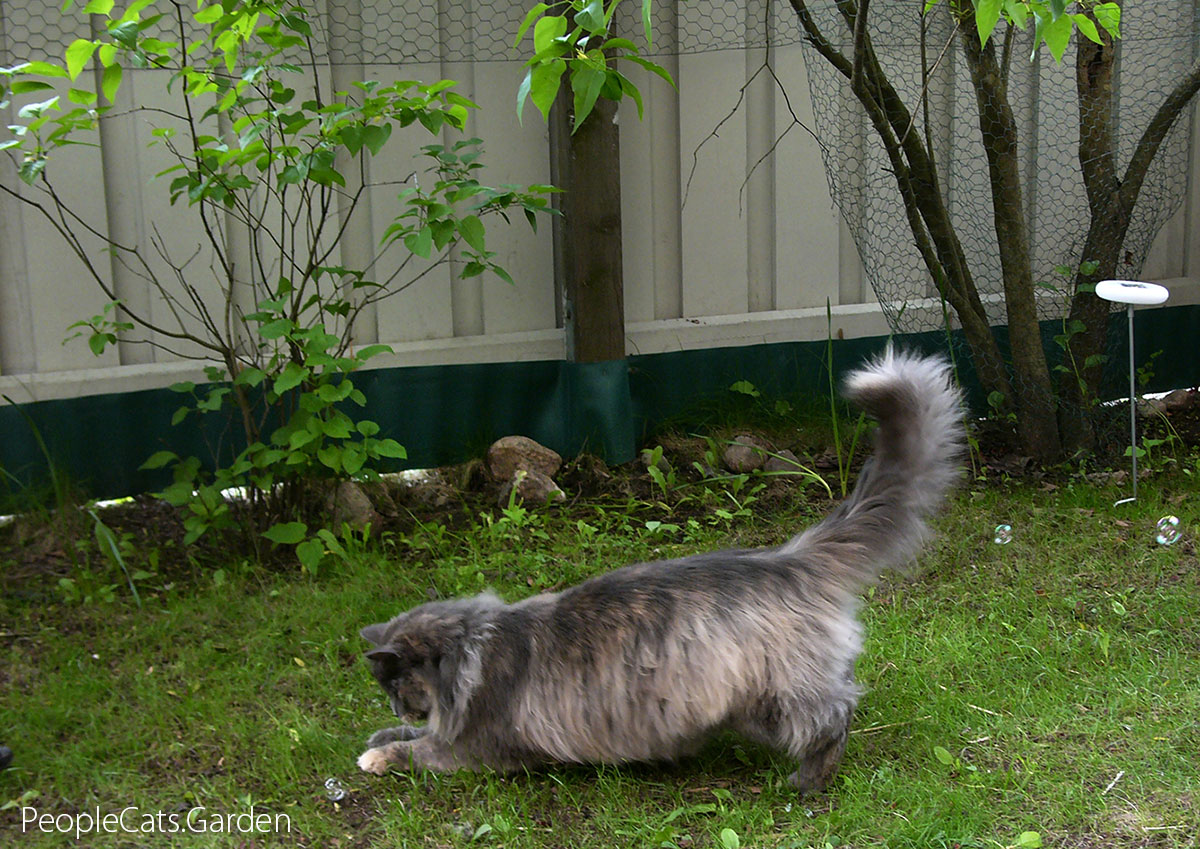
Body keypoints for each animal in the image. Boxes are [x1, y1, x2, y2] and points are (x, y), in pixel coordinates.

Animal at [355, 347, 964, 791]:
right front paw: (376, 735)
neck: (469, 648)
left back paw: (808, 781)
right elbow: (402, 735)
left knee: (835, 716)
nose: (395, 703)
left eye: (396, 683)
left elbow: (417, 749)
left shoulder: (473, 745)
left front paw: (379, 755)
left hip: (777, 696)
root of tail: (788, 558)